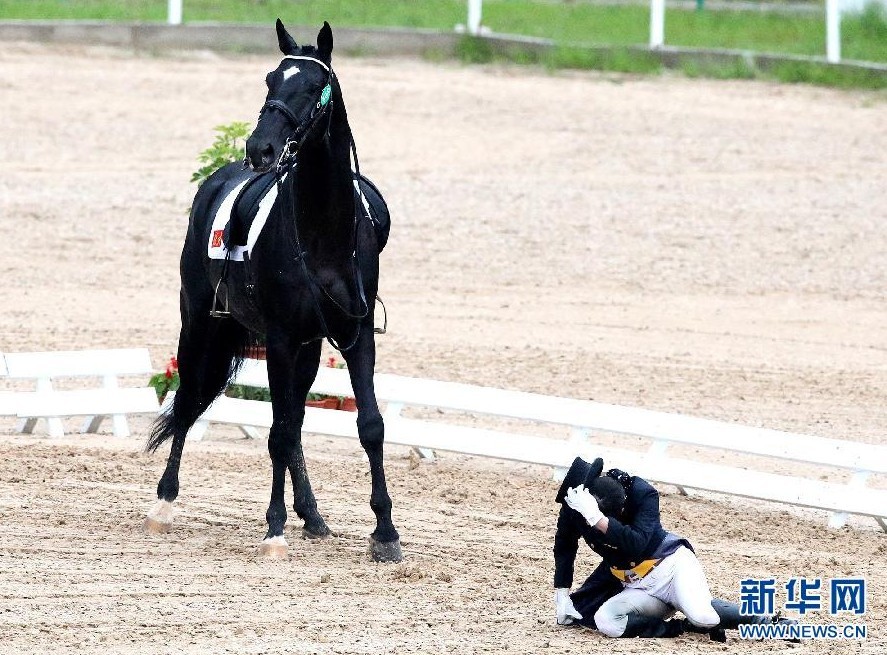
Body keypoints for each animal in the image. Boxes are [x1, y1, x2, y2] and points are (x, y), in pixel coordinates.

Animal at [143, 19, 401, 563]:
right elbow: (277, 432)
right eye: (269, 80)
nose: (259, 149)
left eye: (314, 87)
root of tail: (217, 179)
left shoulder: (356, 335)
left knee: (296, 419)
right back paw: (164, 503)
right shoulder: (279, 338)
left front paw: (386, 532)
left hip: (308, 347)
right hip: (200, 327)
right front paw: (274, 528)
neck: (323, 232)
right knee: (190, 400)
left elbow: (368, 425)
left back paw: (314, 516)